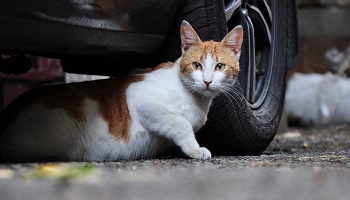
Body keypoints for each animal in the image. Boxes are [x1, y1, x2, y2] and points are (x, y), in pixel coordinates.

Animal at [0, 20, 242, 162]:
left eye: (219, 67)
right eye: (197, 65)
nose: (207, 81)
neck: (195, 98)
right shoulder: (139, 97)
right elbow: (180, 123)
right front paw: (195, 149)